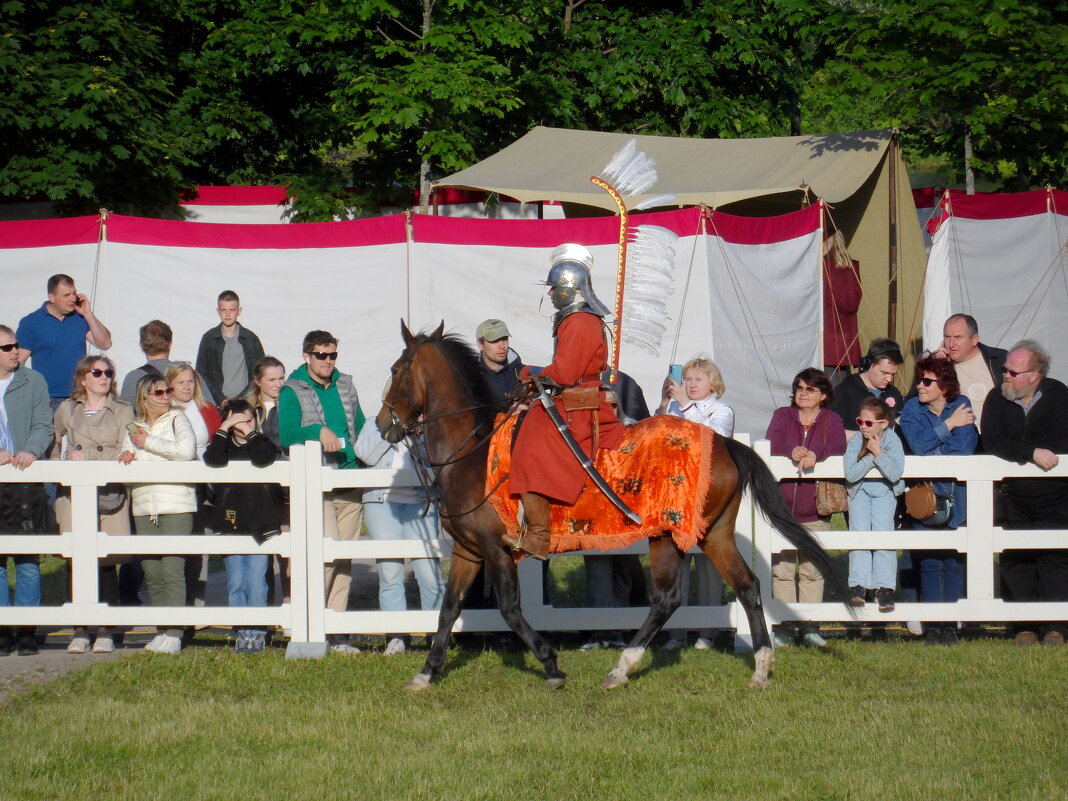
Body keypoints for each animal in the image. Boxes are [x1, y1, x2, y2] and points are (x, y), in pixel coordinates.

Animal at [380, 322, 845, 692]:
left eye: (395, 370)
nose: (384, 424)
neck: (471, 454)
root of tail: (723, 441)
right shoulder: (468, 551)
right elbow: (448, 610)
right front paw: (426, 672)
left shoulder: (496, 551)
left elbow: (510, 609)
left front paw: (551, 665)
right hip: (713, 534)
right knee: (747, 586)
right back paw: (761, 667)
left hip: (666, 534)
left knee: (666, 598)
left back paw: (622, 668)